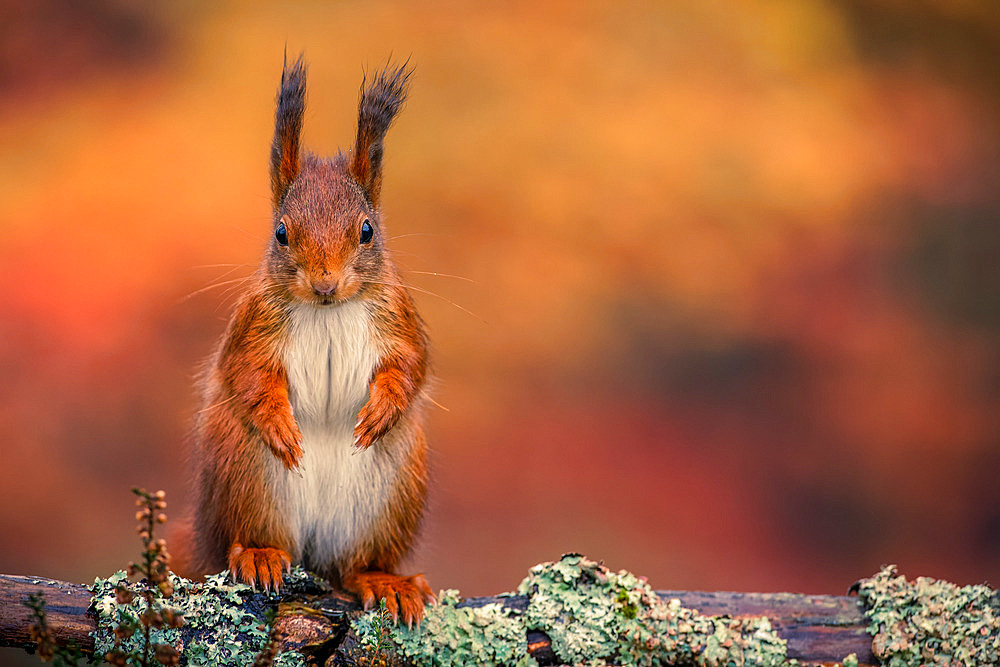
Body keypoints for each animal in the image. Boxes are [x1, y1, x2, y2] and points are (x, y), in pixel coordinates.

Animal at [184, 56, 434, 628]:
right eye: (281, 232)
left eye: (367, 230)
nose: (324, 284)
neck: (328, 312)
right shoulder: (252, 326)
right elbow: (249, 375)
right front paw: (279, 421)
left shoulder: (400, 319)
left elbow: (411, 366)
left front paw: (383, 408)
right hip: (247, 476)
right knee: (250, 537)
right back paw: (259, 554)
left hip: (388, 498)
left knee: (354, 565)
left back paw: (382, 580)